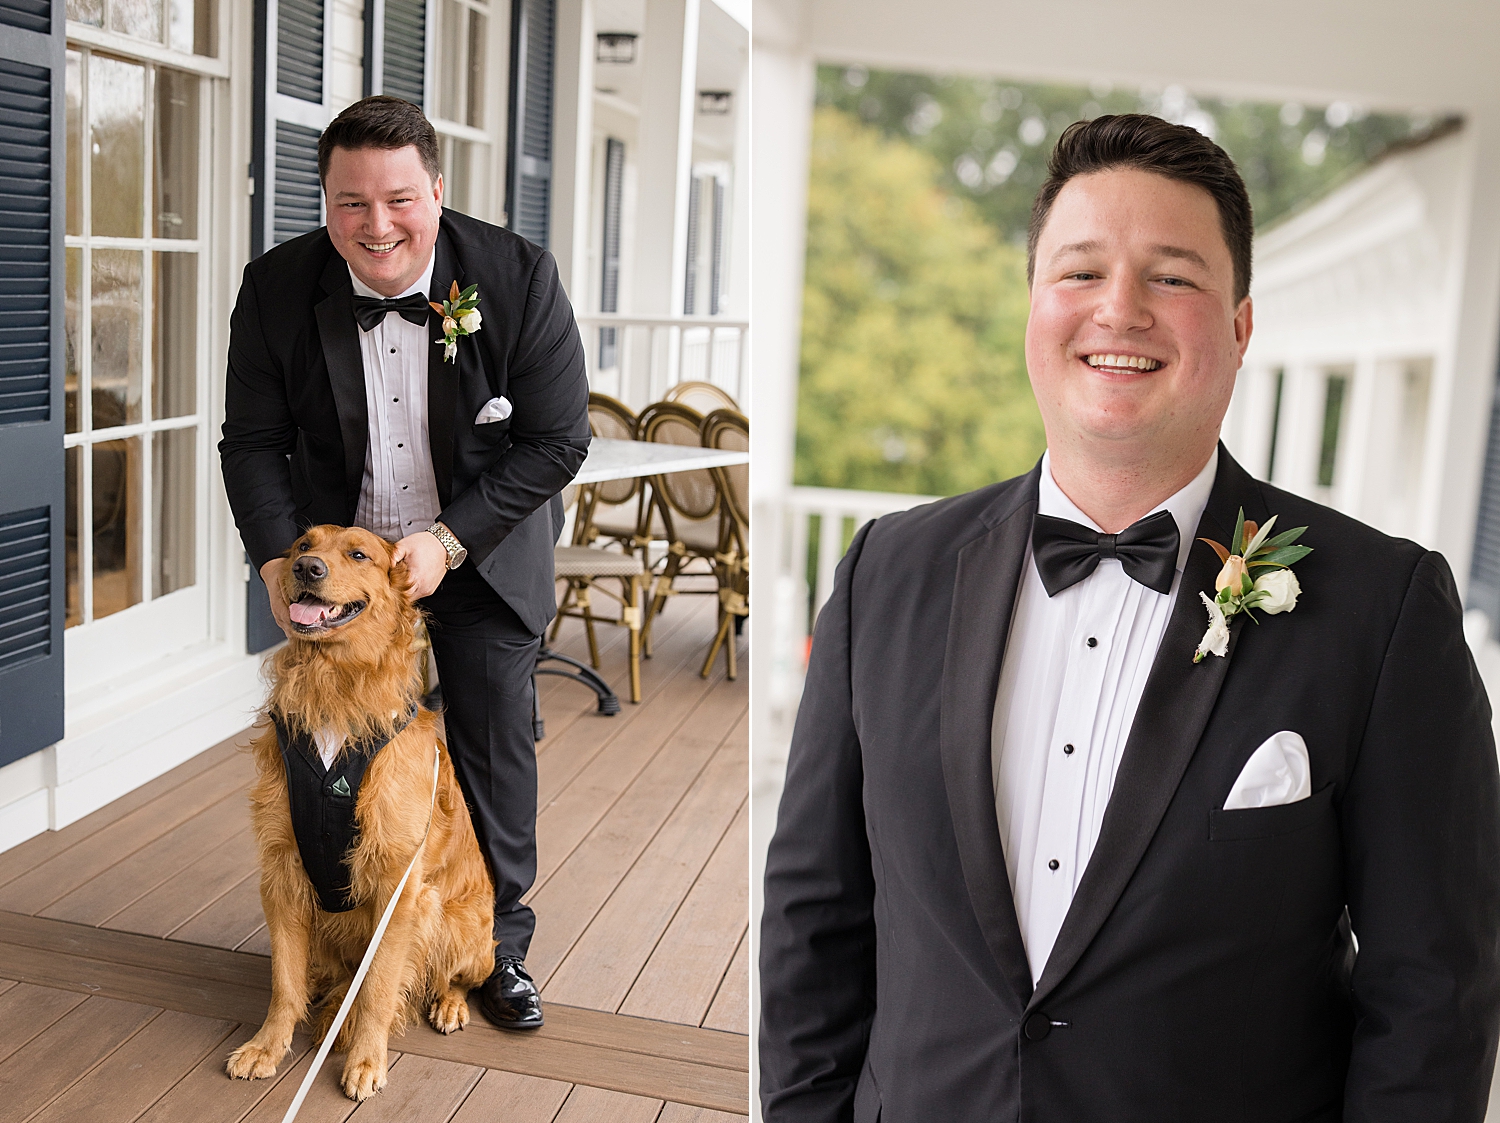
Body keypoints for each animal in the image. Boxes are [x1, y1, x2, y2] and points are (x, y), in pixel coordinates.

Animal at [228, 524, 495, 1097]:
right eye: (304, 544)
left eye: (358, 554)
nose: (306, 568)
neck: (335, 685)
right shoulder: (282, 870)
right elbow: (285, 983)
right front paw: (267, 1046)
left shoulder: (398, 887)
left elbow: (378, 989)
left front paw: (367, 1060)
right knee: (339, 980)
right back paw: (332, 1012)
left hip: (458, 924)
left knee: (452, 977)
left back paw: (447, 1005)